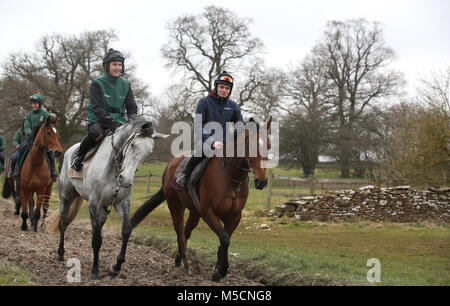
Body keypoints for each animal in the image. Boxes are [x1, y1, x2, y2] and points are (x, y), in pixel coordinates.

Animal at [44, 118, 168, 280]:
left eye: (149, 151)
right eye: (133, 145)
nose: (125, 180)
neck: (113, 168)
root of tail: (69, 151)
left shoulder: (121, 203)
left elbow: (126, 230)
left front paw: (115, 267)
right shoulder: (94, 204)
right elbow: (96, 239)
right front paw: (95, 270)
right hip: (66, 197)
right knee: (63, 223)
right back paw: (60, 253)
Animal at [130, 117, 270, 282]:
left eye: (269, 146)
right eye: (252, 146)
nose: (262, 181)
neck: (231, 179)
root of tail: (170, 166)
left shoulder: (234, 215)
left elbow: (225, 238)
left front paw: (217, 271)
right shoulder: (208, 212)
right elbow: (224, 238)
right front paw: (221, 270)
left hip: (194, 212)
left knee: (186, 232)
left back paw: (178, 260)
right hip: (175, 206)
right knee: (180, 234)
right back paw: (186, 265)